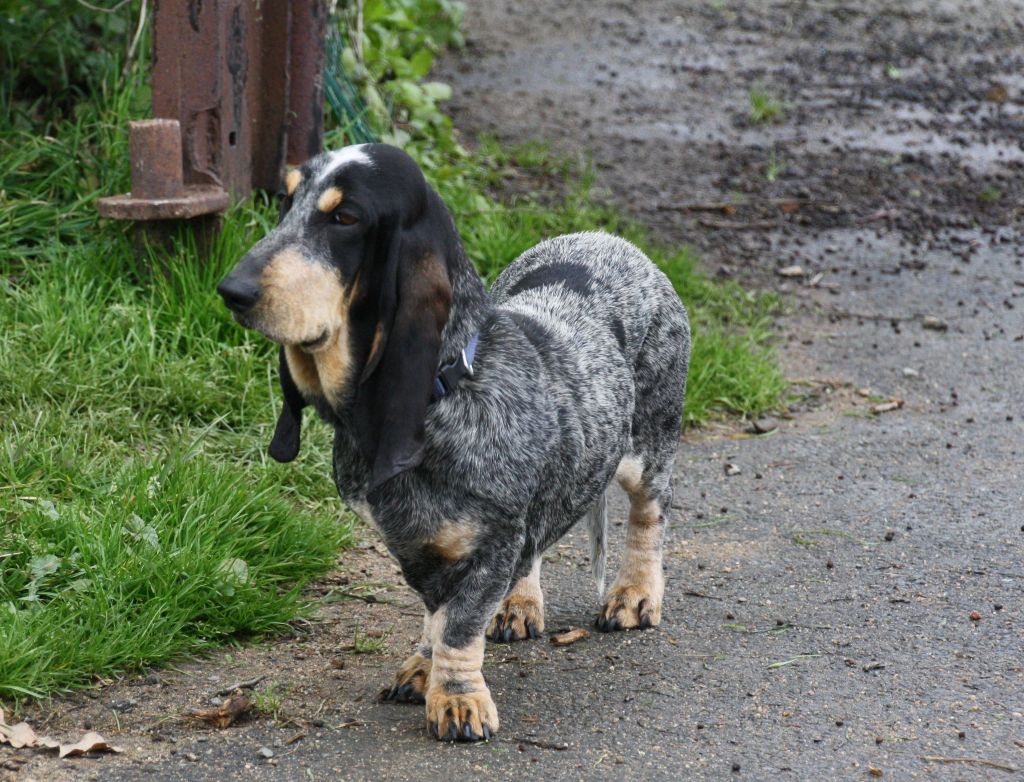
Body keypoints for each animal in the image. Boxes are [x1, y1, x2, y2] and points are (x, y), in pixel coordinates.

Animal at [219, 143, 692, 741]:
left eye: (345, 218)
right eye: (286, 200)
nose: (230, 290)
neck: (447, 390)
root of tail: (611, 240)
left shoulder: (491, 544)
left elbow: (458, 626)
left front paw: (458, 699)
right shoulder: (419, 546)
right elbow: (435, 615)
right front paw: (425, 670)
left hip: (649, 447)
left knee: (648, 515)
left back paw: (634, 595)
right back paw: (519, 605)